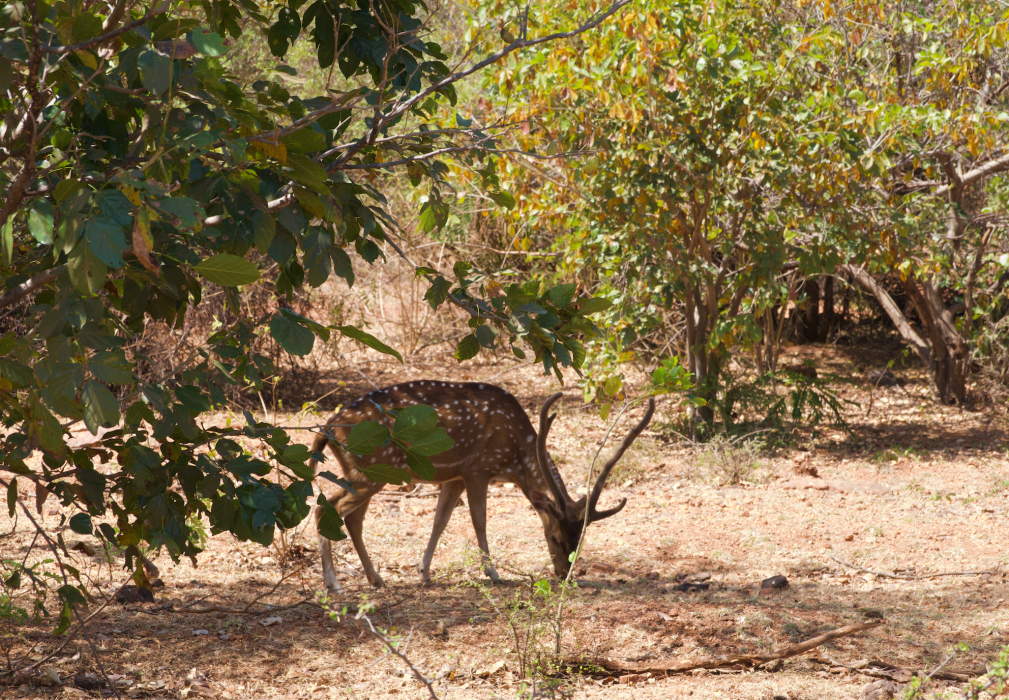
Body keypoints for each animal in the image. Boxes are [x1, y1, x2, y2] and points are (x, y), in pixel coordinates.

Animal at [309, 381, 655, 590]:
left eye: (580, 540)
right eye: (555, 538)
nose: (563, 576)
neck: (515, 455)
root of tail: (327, 428)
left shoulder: (455, 475)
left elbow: (440, 521)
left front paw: (424, 573)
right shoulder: (479, 469)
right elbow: (479, 521)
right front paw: (493, 573)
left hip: (368, 474)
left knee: (352, 518)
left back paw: (376, 578)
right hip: (369, 473)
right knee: (326, 508)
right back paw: (333, 583)